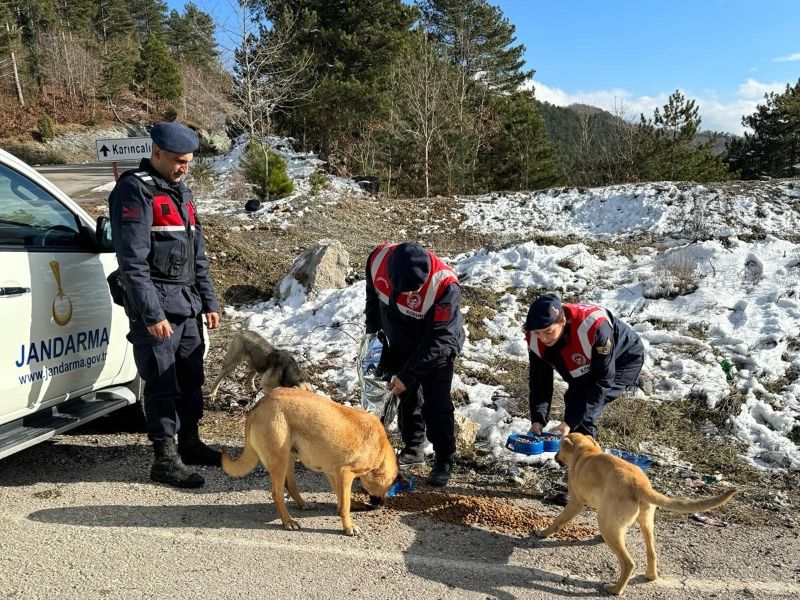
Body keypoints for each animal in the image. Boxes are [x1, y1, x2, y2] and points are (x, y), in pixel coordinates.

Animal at [220, 386, 398, 536]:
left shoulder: (334, 473)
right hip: (280, 460)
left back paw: (302, 504)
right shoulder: (346, 473)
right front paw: (348, 526)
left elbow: (342, 497)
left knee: (290, 484)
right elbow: (345, 504)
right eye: (387, 488)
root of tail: (259, 405)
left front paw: (350, 507)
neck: (380, 449)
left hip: (289, 456)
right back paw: (288, 521)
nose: (380, 504)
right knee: (277, 493)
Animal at [536, 432, 736, 596]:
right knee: (651, 553)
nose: (554, 457)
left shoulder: (576, 503)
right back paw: (650, 575)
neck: (586, 452)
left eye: (559, 449)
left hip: (607, 522)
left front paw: (543, 532)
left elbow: (558, 520)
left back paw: (616, 589)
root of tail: (641, 486)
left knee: (628, 562)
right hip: (645, 523)